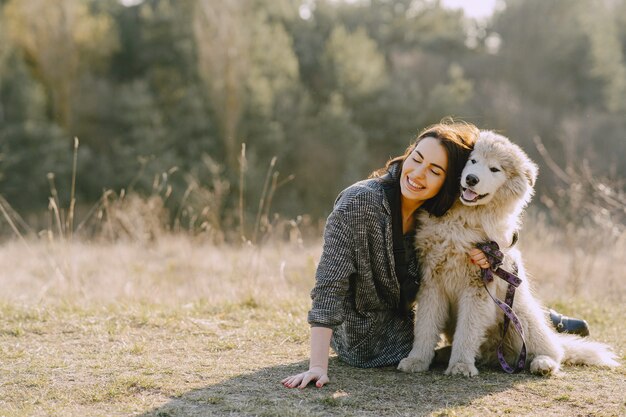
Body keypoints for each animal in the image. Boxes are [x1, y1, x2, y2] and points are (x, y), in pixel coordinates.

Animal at [398, 131, 616, 376]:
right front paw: (417, 360)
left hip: (519, 315)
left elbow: (467, 330)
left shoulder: (478, 283)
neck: (464, 218)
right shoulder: (432, 282)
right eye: (472, 161)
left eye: (495, 169)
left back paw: (543, 363)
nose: (471, 179)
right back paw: (446, 354)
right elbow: (425, 326)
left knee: (552, 350)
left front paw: (461, 365)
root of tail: (496, 354)